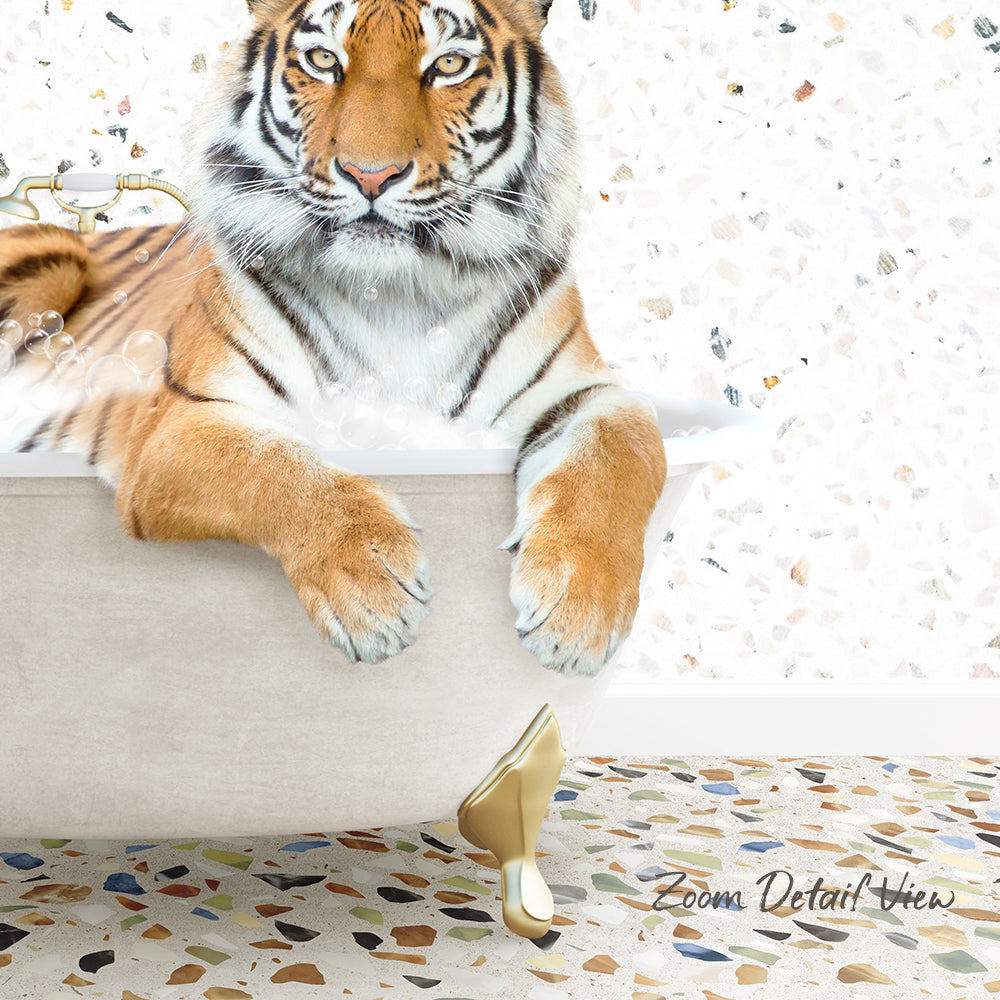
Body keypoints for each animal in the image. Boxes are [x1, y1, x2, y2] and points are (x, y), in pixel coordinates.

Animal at [0, 0, 666, 677]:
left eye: (448, 64)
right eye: (324, 60)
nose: (371, 176)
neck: (394, 296)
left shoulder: (585, 392)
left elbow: (625, 450)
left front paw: (578, 611)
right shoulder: (179, 423)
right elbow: (273, 466)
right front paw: (372, 590)